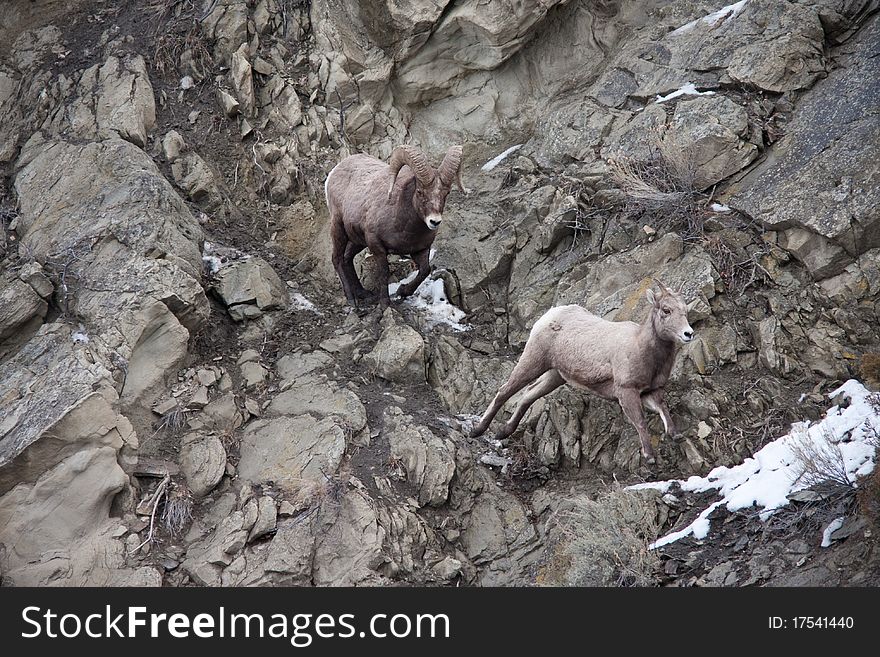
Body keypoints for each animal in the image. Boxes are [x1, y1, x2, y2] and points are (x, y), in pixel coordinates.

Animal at [324, 144, 468, 308]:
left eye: (446, 193)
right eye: (420, 191)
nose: (434, 222)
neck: (403, 227)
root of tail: (335, 171)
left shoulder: (420, 250)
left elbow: (425, 270)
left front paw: (403, 291)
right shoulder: (376, 245)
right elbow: (384, 273)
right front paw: (385, 304)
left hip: (357, 240)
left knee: (347, 258)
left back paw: (363, 293)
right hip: (338, 228)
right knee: (337, 259)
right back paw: (351, 300)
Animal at [470, 284, 692, 464]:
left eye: (685, 311)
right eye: (666, 310)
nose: (688, 333)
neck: (641, 346)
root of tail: (550, 315)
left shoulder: (650, 391)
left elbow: (663, 409)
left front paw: (677, 436)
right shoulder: (627, 391)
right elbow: (640, 421)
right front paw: (649, 456)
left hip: (555, 375)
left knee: (528, 395)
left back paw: (503, 432)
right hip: (533, 361)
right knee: (504, 392)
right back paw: (477, 431)